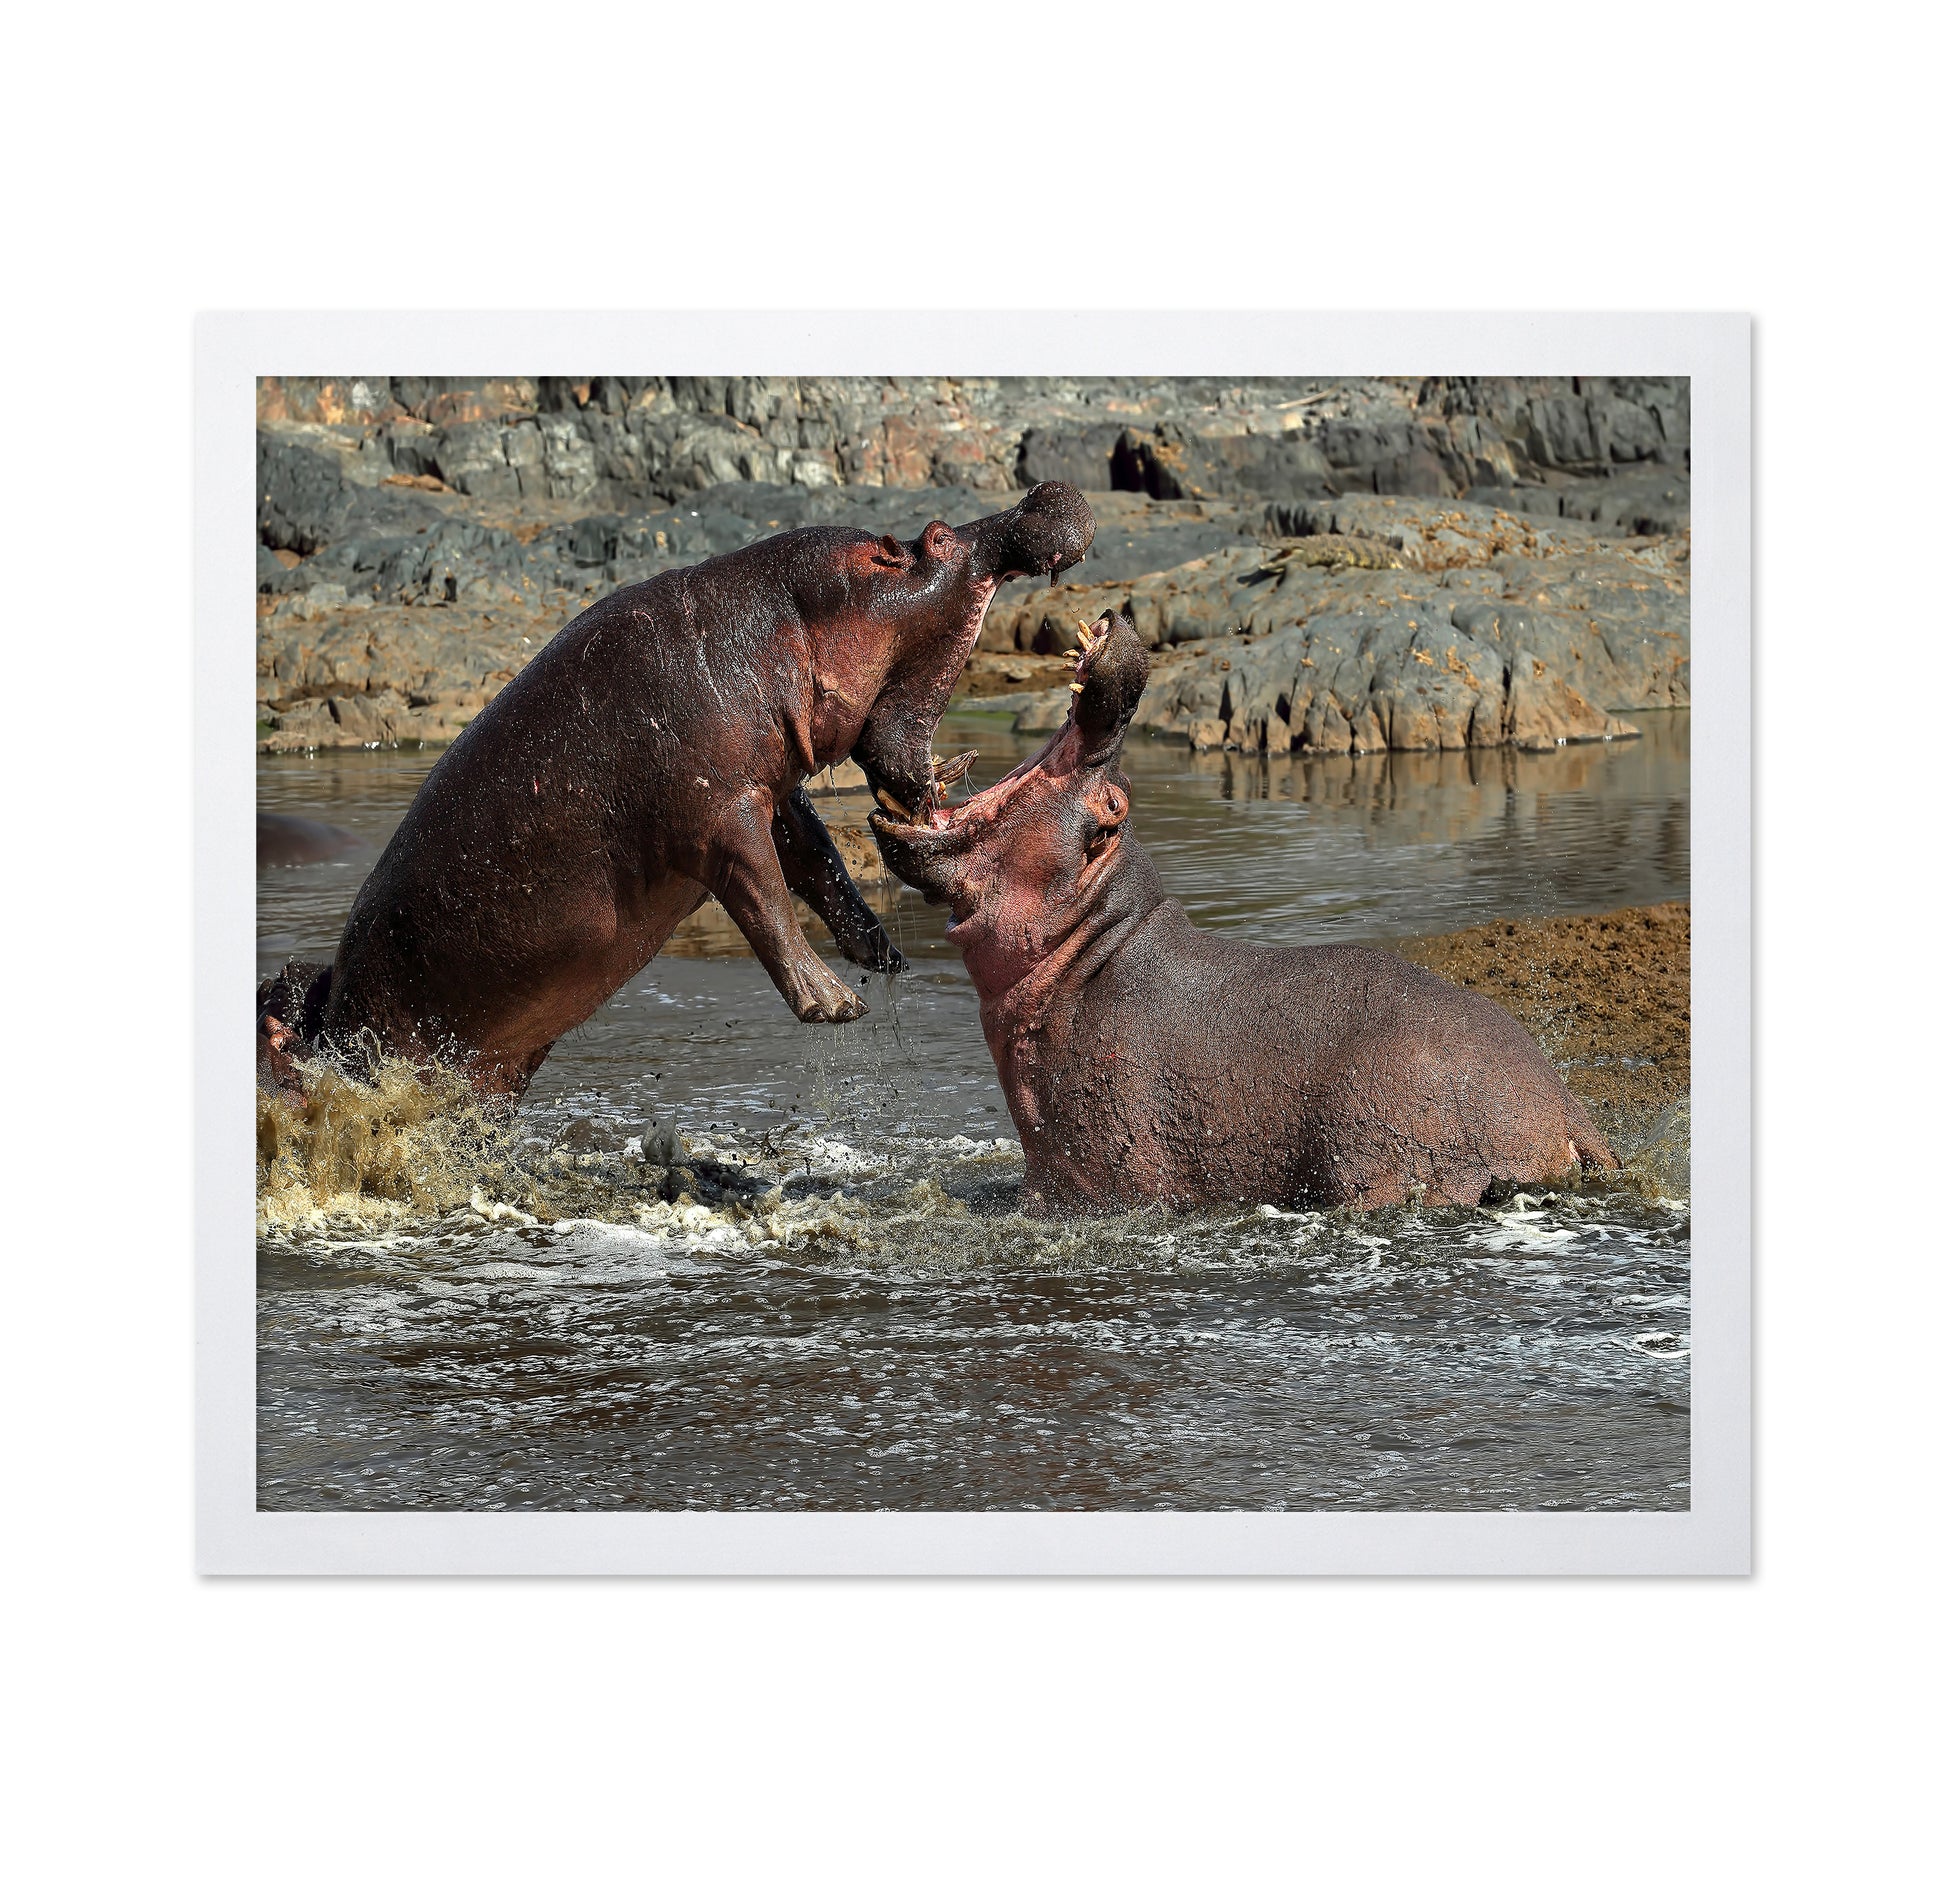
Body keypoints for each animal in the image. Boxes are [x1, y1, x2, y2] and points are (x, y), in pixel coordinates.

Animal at [261, 483, 1096, 1098]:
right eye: (937, 538)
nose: (1042, 492)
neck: (782, 622)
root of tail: (326, 1025)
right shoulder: (718, 812)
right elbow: (764, 896)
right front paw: (837, 1003)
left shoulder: (771, 790)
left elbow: (819, 860)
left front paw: (881, 954)